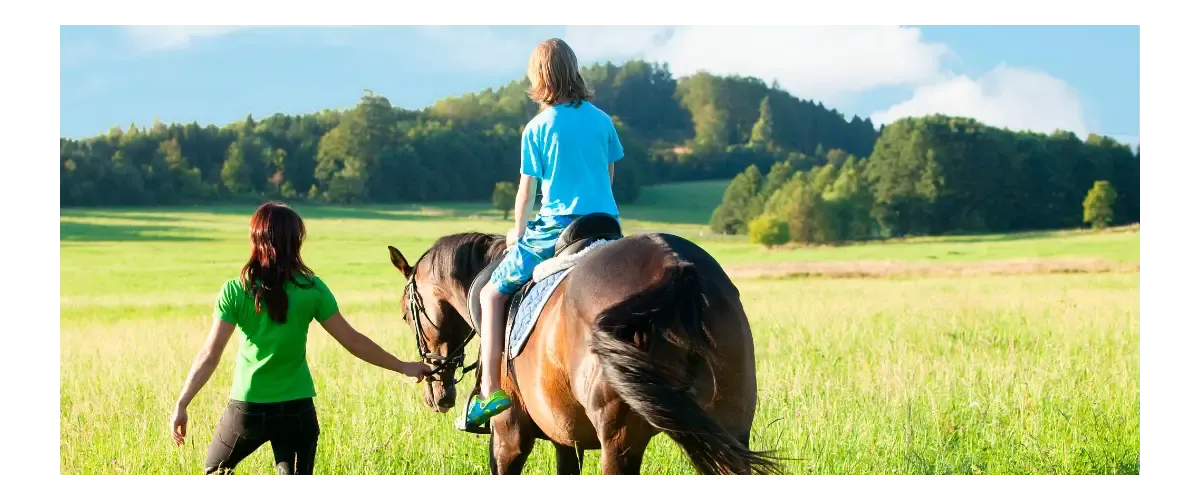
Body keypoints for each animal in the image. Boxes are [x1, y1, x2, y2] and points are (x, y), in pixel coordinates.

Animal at [384, 212, 777, 477]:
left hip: (619, 443)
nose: (437, 395)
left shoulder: (508, 435)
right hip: (730, 428)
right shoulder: (565, 437)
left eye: (405, 315)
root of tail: (674, 267)